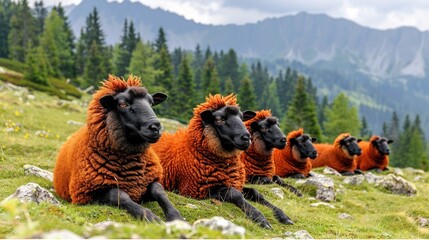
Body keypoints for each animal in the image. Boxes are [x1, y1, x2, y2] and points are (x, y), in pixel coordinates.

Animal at [52, 76, 181, 222]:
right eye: (123, 104)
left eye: (151, 103)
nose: (155, 127)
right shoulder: (88, 193)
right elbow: (119, 195)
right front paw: (149, 216)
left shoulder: (147, 182)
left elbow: (158, 190)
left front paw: (176, 216)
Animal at [152, 94, 292, 229]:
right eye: (219, 119)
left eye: (242, 118)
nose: (247, 138)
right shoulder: (195, 190)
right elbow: (235, 194)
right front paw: (260, 218)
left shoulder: (236, 183)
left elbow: (256, 193)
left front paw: (283, 215)